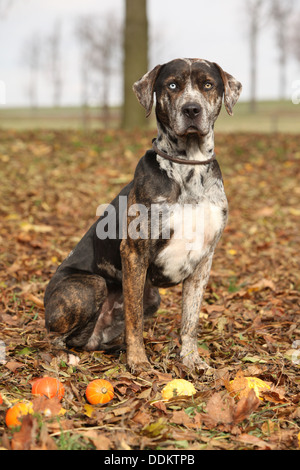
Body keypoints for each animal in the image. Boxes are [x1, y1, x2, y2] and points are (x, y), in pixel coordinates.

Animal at [44, 58, 241, 370]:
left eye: (208, 85)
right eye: (172, 85)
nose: (192, 109)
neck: (189, 166)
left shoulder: (204, 259)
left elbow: (190, 320)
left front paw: (192, 360)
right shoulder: (135, 251)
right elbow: (134, 320)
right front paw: (138, 361)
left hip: (152, 298)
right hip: (90, 285)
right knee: (52, 338)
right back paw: (66, 356)